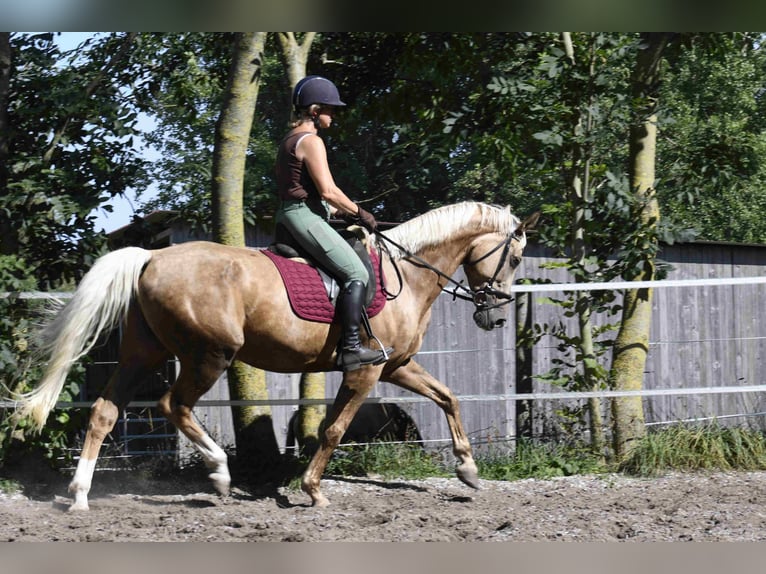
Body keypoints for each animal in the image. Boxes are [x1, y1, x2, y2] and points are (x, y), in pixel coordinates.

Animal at [12, 200, 540, 510]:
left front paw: (468, 470)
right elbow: (334, 429)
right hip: (210, 355)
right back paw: (219, 474)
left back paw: (80, 496)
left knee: (104, 411)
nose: (494, 315)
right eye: (514, 258)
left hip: (142, 353)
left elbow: (448, 397)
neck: (405, 277)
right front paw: (312, 490)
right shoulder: (366, 373)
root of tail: (151, 255)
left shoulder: (395, 365)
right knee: (172, 405)